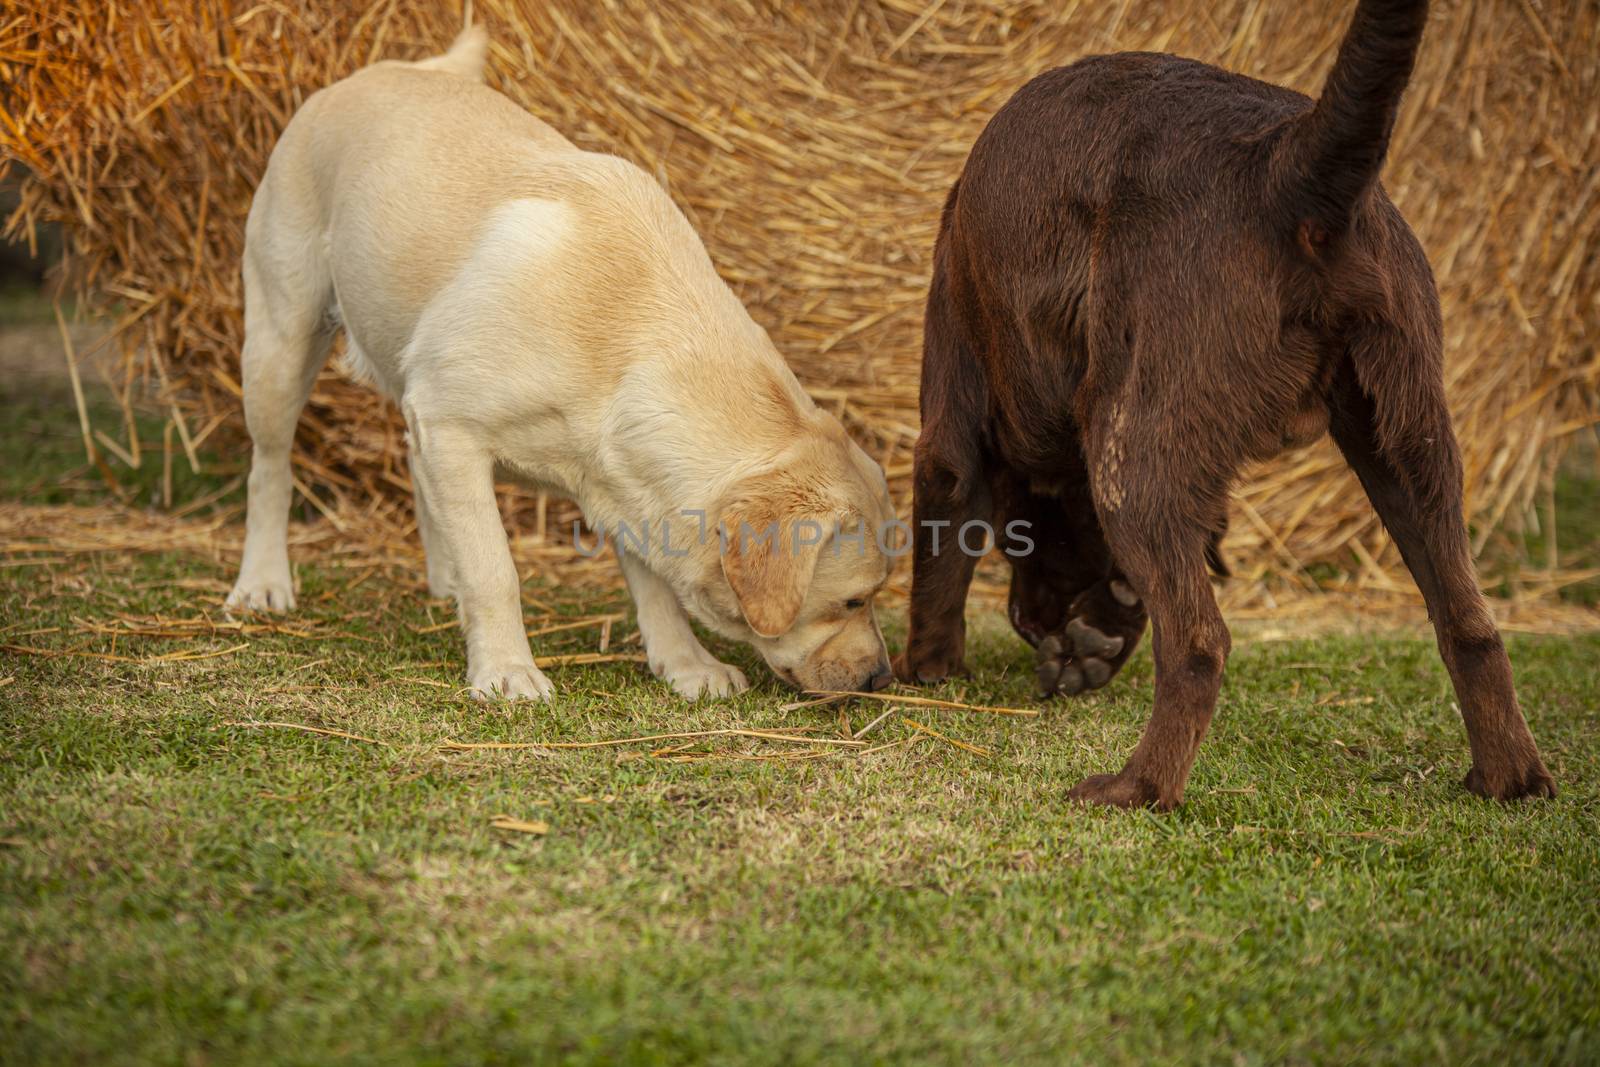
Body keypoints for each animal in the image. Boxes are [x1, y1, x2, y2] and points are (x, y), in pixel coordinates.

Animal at [227, 27, 902, 700]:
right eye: (852, 601)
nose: (880, 678)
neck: (627, 336)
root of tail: (386, 68)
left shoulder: (621, 481)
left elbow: (656, 589)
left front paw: (686, 665)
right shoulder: (451, 425)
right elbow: (495, 568)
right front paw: (506, 670)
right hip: (280, 345)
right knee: (270, 470)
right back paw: (262, 583)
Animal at [902, 0, 1561, 809]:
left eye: (1018, 540)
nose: (1036, 625)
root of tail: (1285, 162)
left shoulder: (950, 425)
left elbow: (939, 556)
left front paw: (927, 670)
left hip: (1132, 458)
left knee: (1198, 644)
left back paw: (1138, 787)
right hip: (1410, 452)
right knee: (1470, 625)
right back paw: (1507, 777)